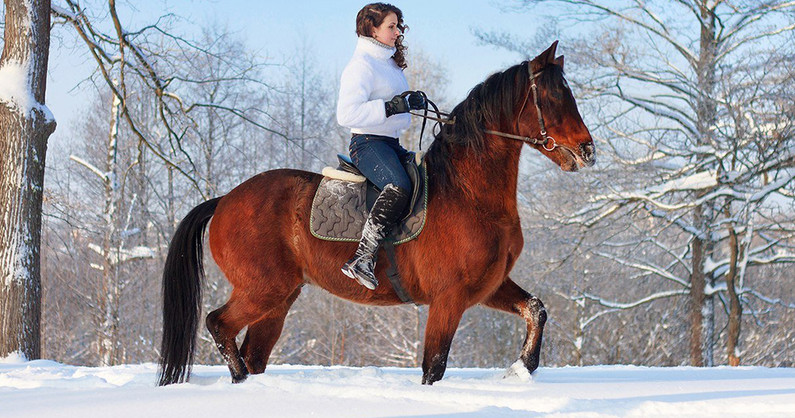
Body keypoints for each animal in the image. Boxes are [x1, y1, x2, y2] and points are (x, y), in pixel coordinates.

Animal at [157, 41, 596, 386]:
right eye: (553, 97)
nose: (587, 151)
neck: (469, 193)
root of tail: (225, 200)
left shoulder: (488, 286)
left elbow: (536, 309)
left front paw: (522, 369)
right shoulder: (449, 298)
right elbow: (434, 367)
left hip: (278, 299)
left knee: (251, 350)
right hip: (262, 289)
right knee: (218, 325)